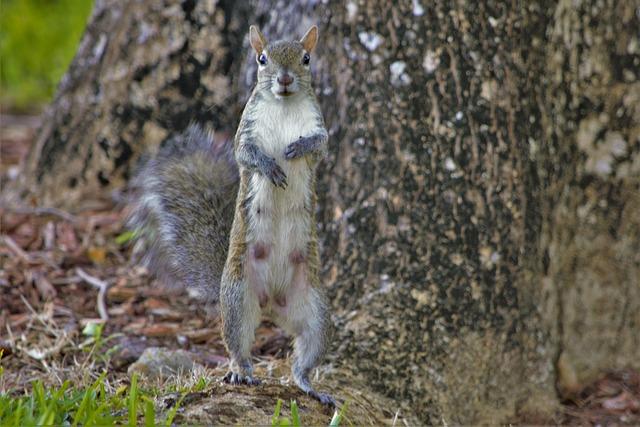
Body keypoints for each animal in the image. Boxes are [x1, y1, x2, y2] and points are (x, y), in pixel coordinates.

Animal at [127, 25, 332, 406]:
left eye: (306, 58)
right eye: (262, 58)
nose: (284, 79)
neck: (284, 106)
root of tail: (272, 305)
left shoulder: (318, 126)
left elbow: (320, 145)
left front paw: (298, 147)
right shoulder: (245, 131)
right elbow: (246, 154)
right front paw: (270, 167)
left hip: (316, 312)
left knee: (305, 356)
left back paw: (309, 385)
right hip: (238, 298)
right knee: (237, 344)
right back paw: (241, 371)